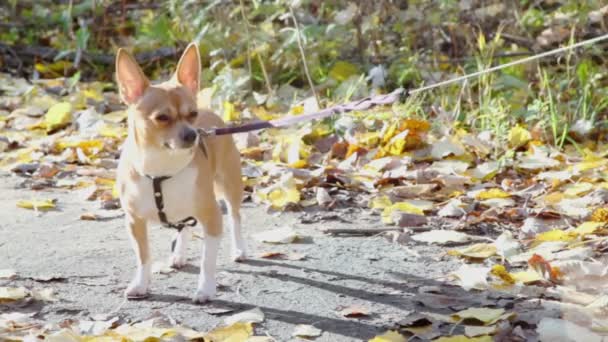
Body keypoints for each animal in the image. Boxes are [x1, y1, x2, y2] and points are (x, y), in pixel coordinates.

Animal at [114, 42, 245, 302]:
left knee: (235, 216)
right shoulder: (135, 222)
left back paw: (239, 249)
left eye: (192, 114)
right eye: (162, 118)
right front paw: (141, 284)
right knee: (185, 224)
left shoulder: (212, 218)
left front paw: (205, 289)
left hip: (229, 185)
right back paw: (178, 256)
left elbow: (207, 260)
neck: (161, 171)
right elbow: (143, 257)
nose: (193, 134)